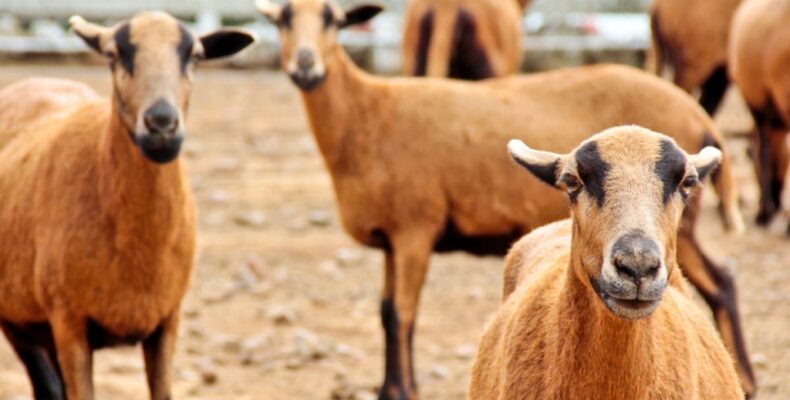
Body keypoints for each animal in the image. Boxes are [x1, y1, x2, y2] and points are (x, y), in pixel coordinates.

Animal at [0, 12, 255, 399]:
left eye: (196, 55)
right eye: (112, 54)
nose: (161, 124)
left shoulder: (167, 319)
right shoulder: (69, 321)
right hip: (21, 318)